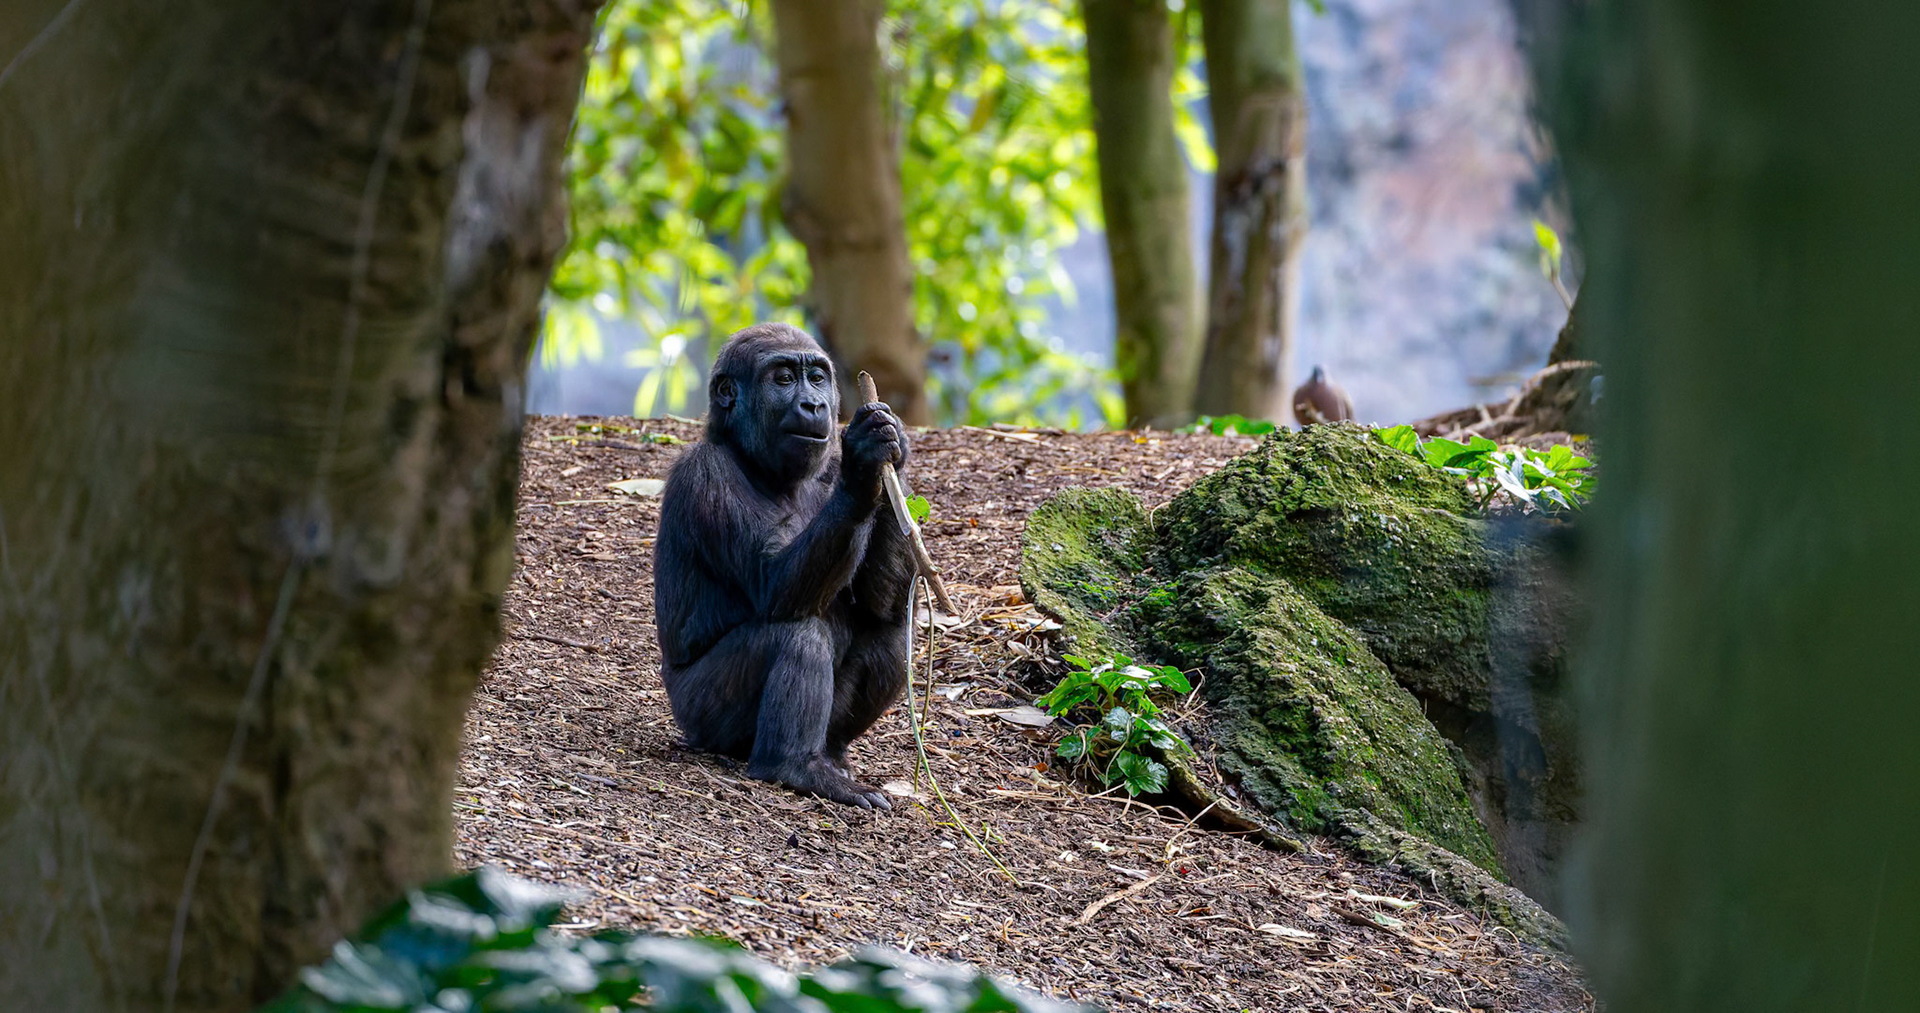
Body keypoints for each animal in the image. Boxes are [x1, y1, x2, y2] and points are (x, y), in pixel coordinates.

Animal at [652, 323, 914, 809]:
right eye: (785, 379)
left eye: (817, 378)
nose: (814, 405)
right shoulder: (706, 477)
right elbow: (775, 586)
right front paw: (866, 460)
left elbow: (881, 605)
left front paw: (894, 455)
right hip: (700, 719)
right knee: (796, 633)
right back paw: (793, 766)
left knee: (889, 633)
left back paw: (830, 756)